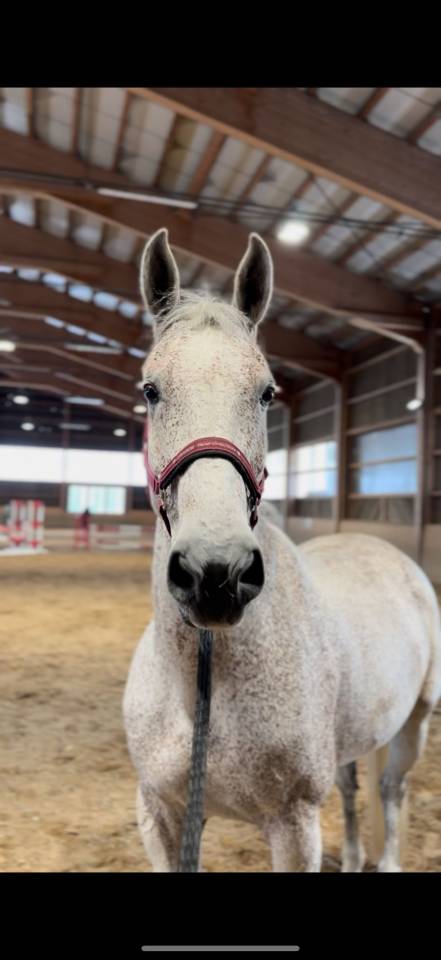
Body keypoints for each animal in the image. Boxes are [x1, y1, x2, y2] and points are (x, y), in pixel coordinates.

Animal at [123, 228, 441, 872]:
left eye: (267, 393)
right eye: (151, 390)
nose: (215, 572)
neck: (201, 686)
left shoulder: (292, 826)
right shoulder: (161, 816)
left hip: (414, 724)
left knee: (391, 791)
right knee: (352, 787)